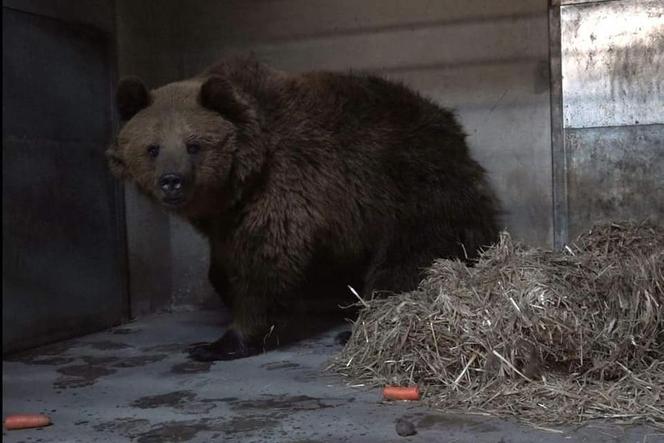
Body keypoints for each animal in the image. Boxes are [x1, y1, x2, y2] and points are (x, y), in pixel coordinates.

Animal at [107, 56, 498, 360]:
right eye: (152, 147)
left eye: (194, 145)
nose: (171, 181)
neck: (241, 181)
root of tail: (455, 133)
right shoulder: (226, 218)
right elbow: (223, 263)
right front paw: (225, 291)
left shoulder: (285, 188)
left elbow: (266, 265)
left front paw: (222, 342)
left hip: (413, 193)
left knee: (406, 261)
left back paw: (360, 325)